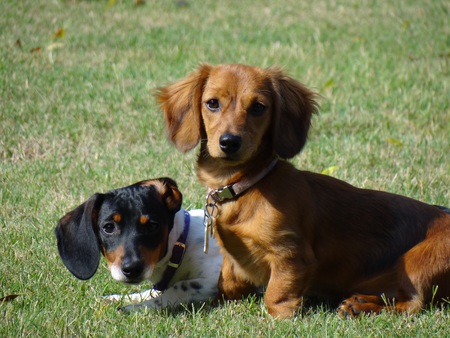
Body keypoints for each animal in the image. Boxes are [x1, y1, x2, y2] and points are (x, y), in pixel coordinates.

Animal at [157, 64, 450, 320]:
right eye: (212, 103)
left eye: (258, 107)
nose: (230, 142)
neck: (247, 187)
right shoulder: (232, 261)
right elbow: (226, 287)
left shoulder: (292, 255)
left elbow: (275, 295)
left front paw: (283, 315)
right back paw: (359, 302)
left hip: (418, 263)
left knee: (411, 305)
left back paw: (362, 308)